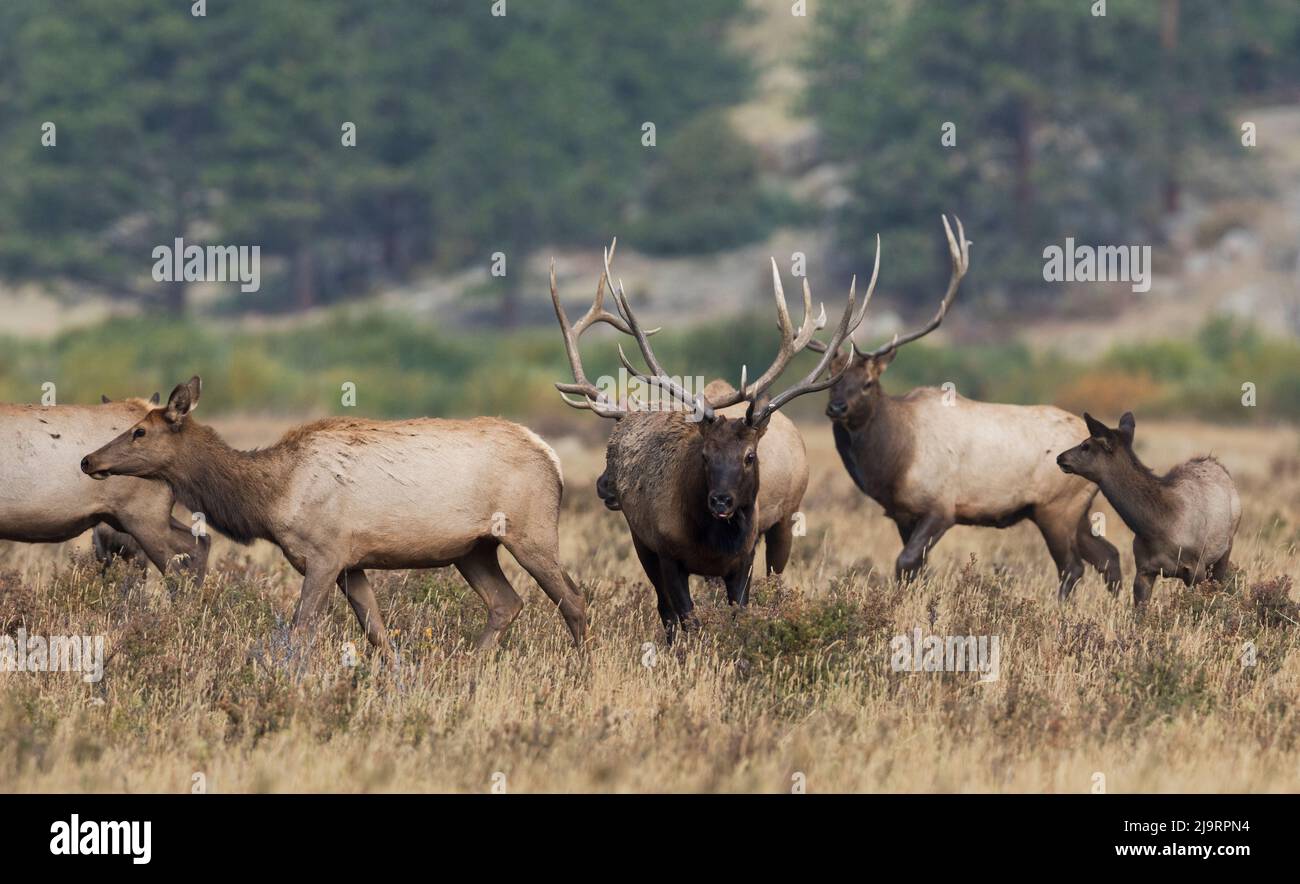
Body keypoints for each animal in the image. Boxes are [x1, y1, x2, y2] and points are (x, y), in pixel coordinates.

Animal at [80, 378, 587, 657]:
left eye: (139, 431)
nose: (88, 460)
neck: (271, 498)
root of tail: (554, 459)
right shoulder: (350, 563)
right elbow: (377, 633)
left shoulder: (324, 555)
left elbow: (301, 629)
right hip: (473, 549)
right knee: (506, 602)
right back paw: (467, 667)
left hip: (531, 531)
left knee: (573, 599)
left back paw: (583, 669)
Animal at [551, 241, 870, 641]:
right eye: (704, 455)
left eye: (750, 456)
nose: (721, 500)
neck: (713, 542)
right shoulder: (666, 553)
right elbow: (686, 619)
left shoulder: (744, 559)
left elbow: (739, 615)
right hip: (642, 543)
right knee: (665, 611)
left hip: (784, 523)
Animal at [812, 216, 1122, 598]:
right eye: (832, 379)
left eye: (868, 382)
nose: (837, 408)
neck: (894, 463)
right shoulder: (902, 514)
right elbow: (915, 570)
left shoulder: (941, 506)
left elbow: (906, 562)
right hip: (1076, 508)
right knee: (1109, 556)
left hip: (1057, 506)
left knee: (1073, 567)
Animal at [1057, 412, 1240, 605]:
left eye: (1086, 445)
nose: (1060, 457)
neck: (1156, 529)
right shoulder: (1143, 569)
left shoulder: (1196, 567)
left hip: (1225, 549)